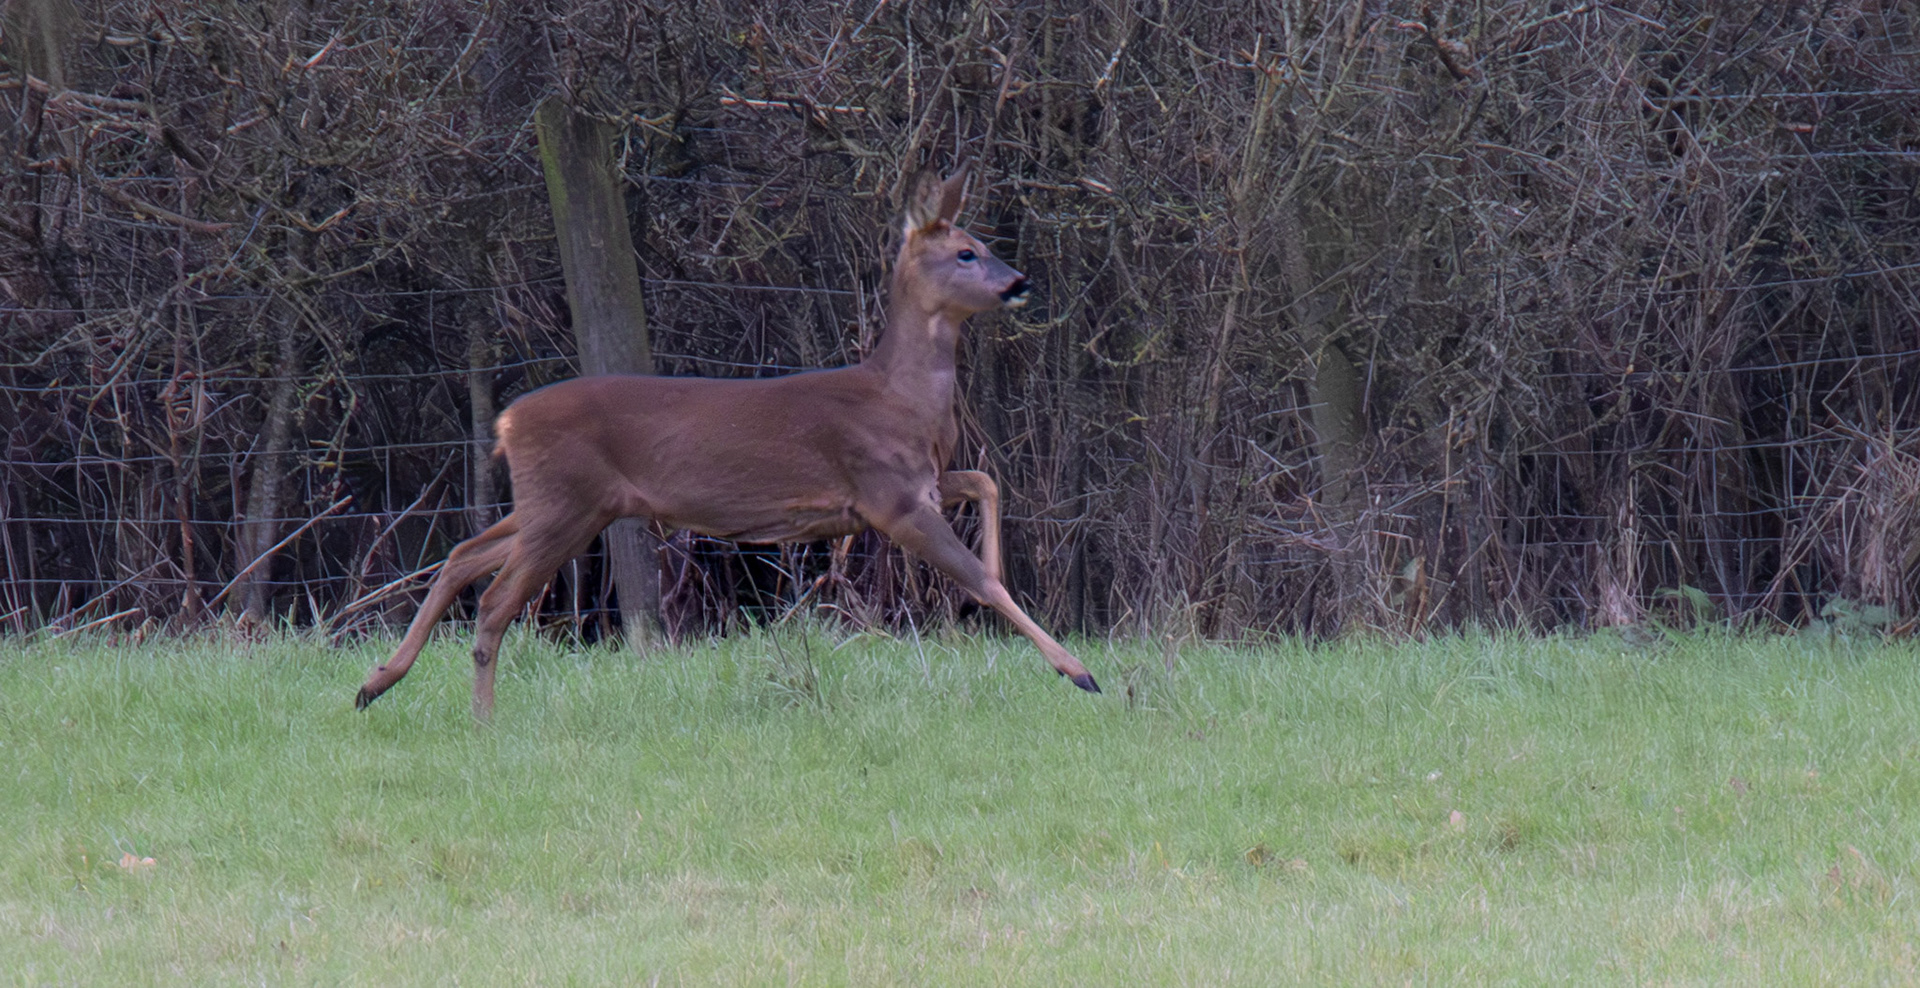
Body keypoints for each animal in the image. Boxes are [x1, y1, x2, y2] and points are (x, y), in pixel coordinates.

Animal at [354, 166, 1100, 718]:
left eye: (986, 244)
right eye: (965, 252)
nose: (1019, 282)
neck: (902, 400)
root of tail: (507, 422)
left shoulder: (909, 484)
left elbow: (986, 483)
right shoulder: (889, 497)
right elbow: (980, 569)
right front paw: (1077, 671)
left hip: (567, 505)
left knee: (462, 556)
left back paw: (375, 683)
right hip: (564, 503)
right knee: (494, 601)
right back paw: (480, 719)